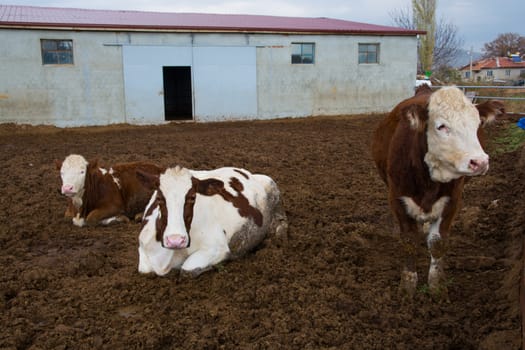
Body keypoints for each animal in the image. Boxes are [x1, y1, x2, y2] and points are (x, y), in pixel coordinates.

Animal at [136, 165, 286, 278]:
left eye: (192, 197)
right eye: (159, 198)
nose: (175, 240)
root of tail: (245, 171)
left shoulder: (218, 247)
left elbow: (187, 270)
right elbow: (144, 270)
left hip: (271, 185)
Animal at [368, 86, 504, 300]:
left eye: (477, 124)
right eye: (441, 126)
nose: (480, 162)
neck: (427, 180)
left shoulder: (453, 201)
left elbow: (437, 243)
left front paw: (436, 287)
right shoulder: (397, 199)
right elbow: (409, 241)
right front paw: (407, 287)